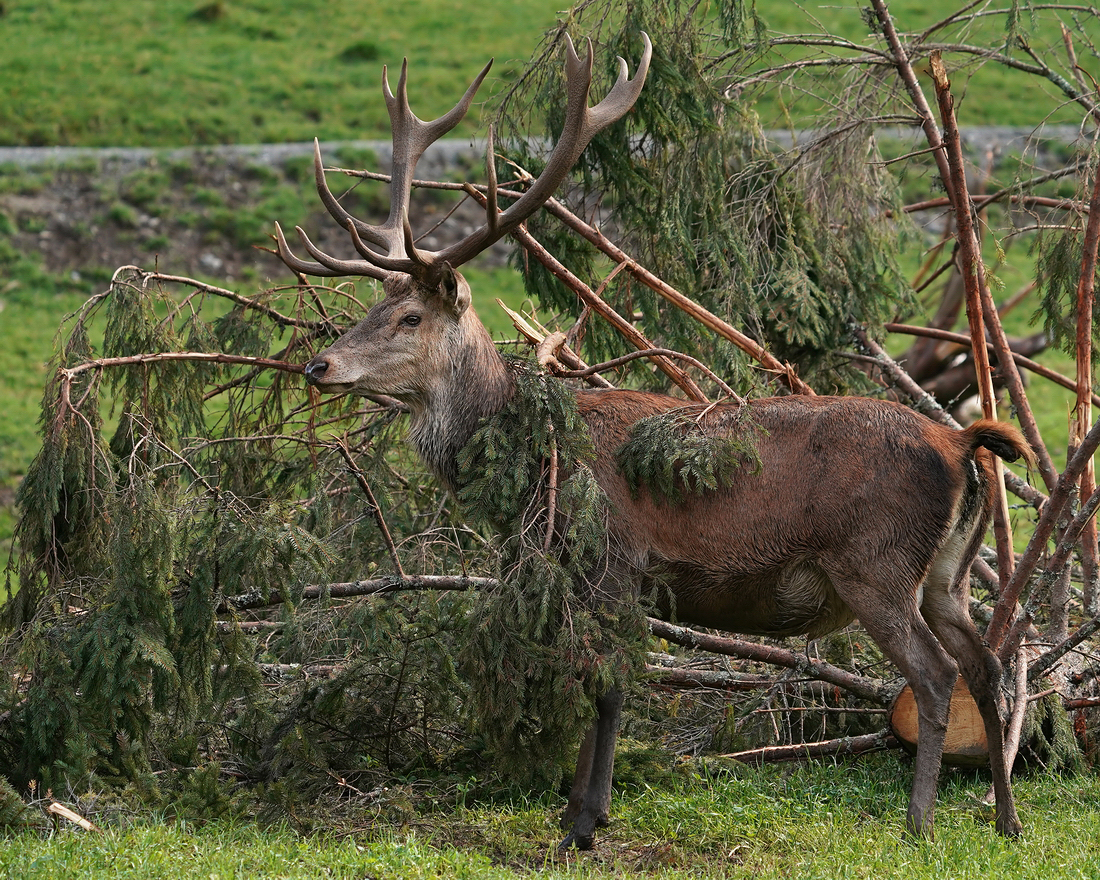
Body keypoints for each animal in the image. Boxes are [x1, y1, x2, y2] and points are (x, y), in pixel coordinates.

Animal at [275, 32, 1029, 844]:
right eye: (370, 308)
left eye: (410, 317)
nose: (319, 364)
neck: (537, 472)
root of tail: (961, 447)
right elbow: (588, 678)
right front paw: (573, 808)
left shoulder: (614, 557)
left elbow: (606, 685)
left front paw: (584, 821)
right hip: (949, 571)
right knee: (987, 664)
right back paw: (1004, 818)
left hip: (875, 563)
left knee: (933, 674)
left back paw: (919, 820)